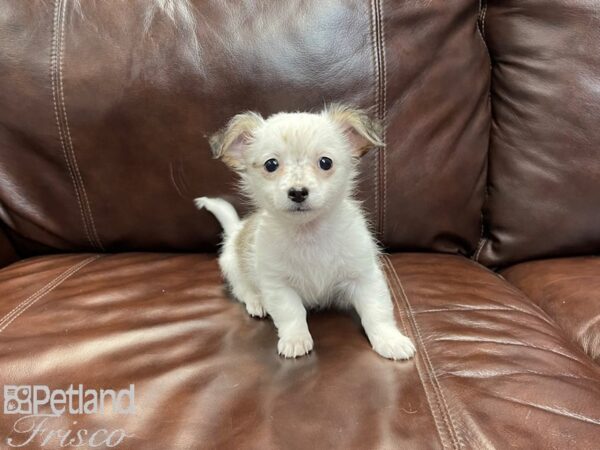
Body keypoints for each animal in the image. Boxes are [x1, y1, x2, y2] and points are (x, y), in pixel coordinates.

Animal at [195, 103, 414, 360]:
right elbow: (292, 314)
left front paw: (390, 340)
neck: (309, 234)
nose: (298, 192)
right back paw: (257, 302)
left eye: (325, 162)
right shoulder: (278, 285)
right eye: (271, 165)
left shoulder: (364, 277)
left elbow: (377, 311)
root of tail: (236, 230)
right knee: (243, 289)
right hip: (233, 267)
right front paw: (295, 340)